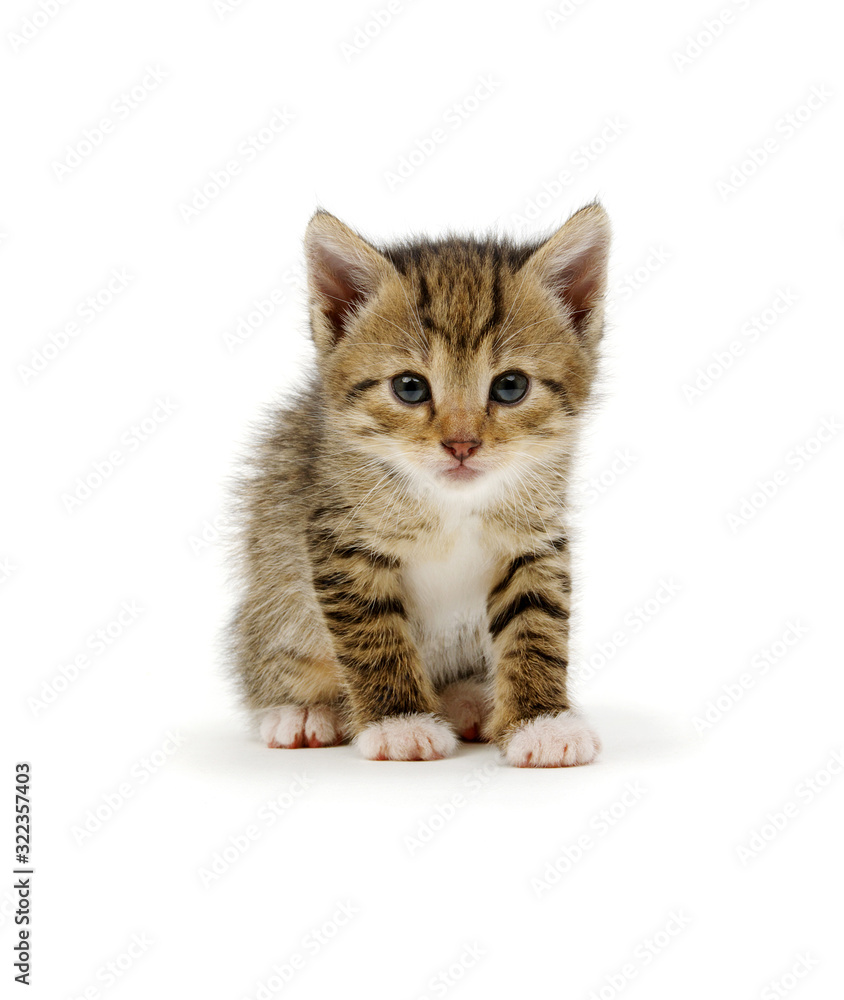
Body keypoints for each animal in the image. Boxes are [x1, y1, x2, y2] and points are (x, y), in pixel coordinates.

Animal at [227, 201, 608, 764]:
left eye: (510, 386)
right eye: (409, 387)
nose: (461, 445)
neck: (451, 504)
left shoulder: (534, 540)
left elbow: (536, 626)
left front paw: (543, 723)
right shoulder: (338, 538)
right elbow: (373, 634)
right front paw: (399, 724)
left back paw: (466, 697)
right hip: (272, 596)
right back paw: (299, 711)